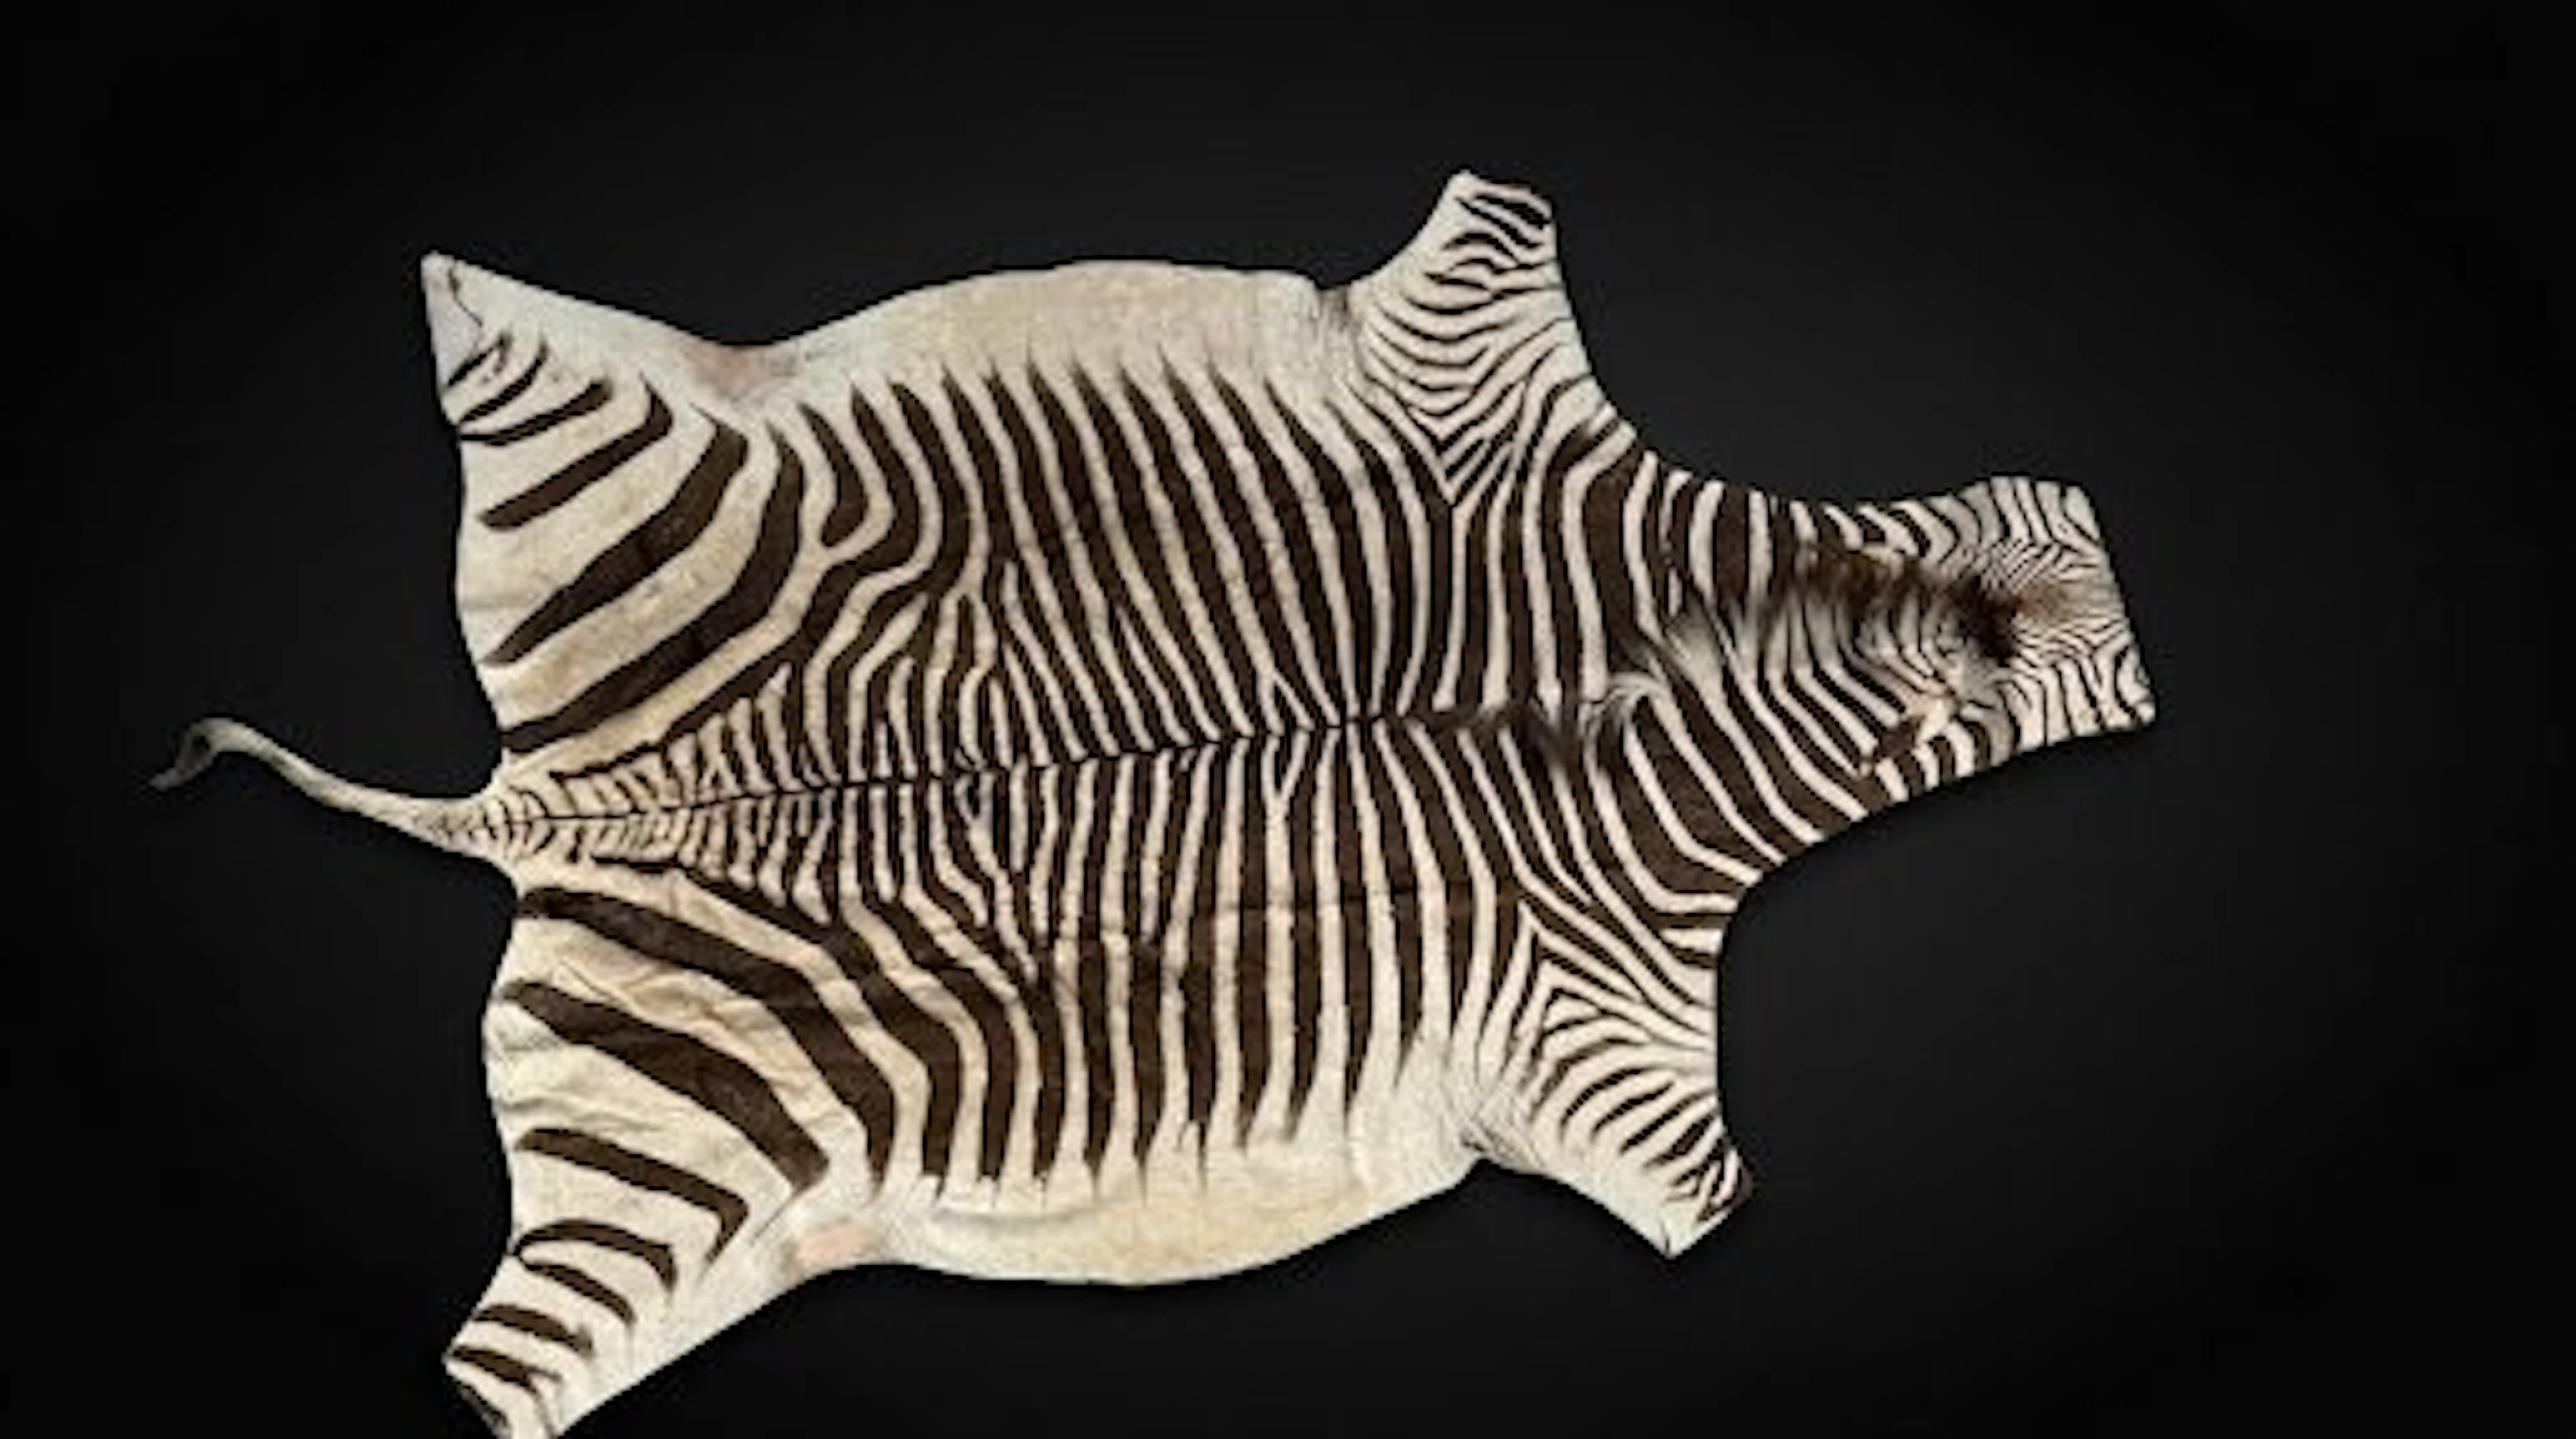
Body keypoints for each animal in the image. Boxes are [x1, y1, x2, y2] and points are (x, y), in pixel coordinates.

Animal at [157, 171, 2156, 1436]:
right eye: (1992, 659)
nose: (2109, 588)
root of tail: (543, 798)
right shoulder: (1612, 1039)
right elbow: (1689, 1176)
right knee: (509, 1374)